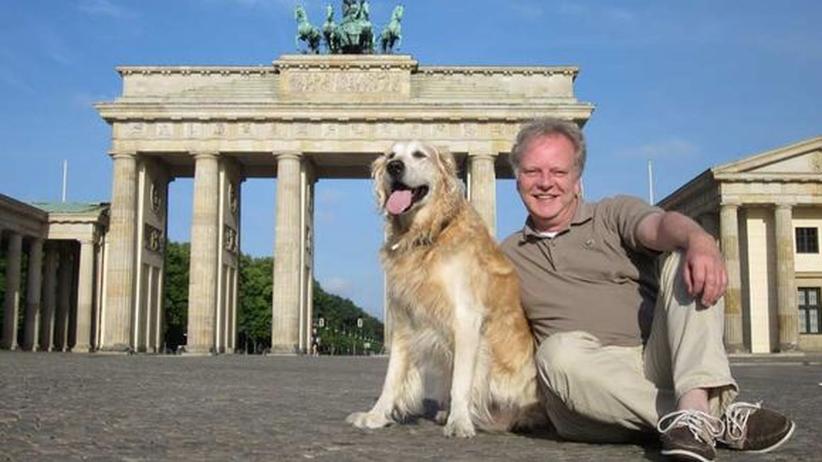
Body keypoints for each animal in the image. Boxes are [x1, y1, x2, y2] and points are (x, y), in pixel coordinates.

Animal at [348, 140, 548, 436]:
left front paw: (460, 421)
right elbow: (392, 378)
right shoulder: (404, 319)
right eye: (391, 155)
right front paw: (376, 415)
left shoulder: (466, 317)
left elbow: (461, 381)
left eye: (419, 154)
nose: (394, 167)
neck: (426, 237)